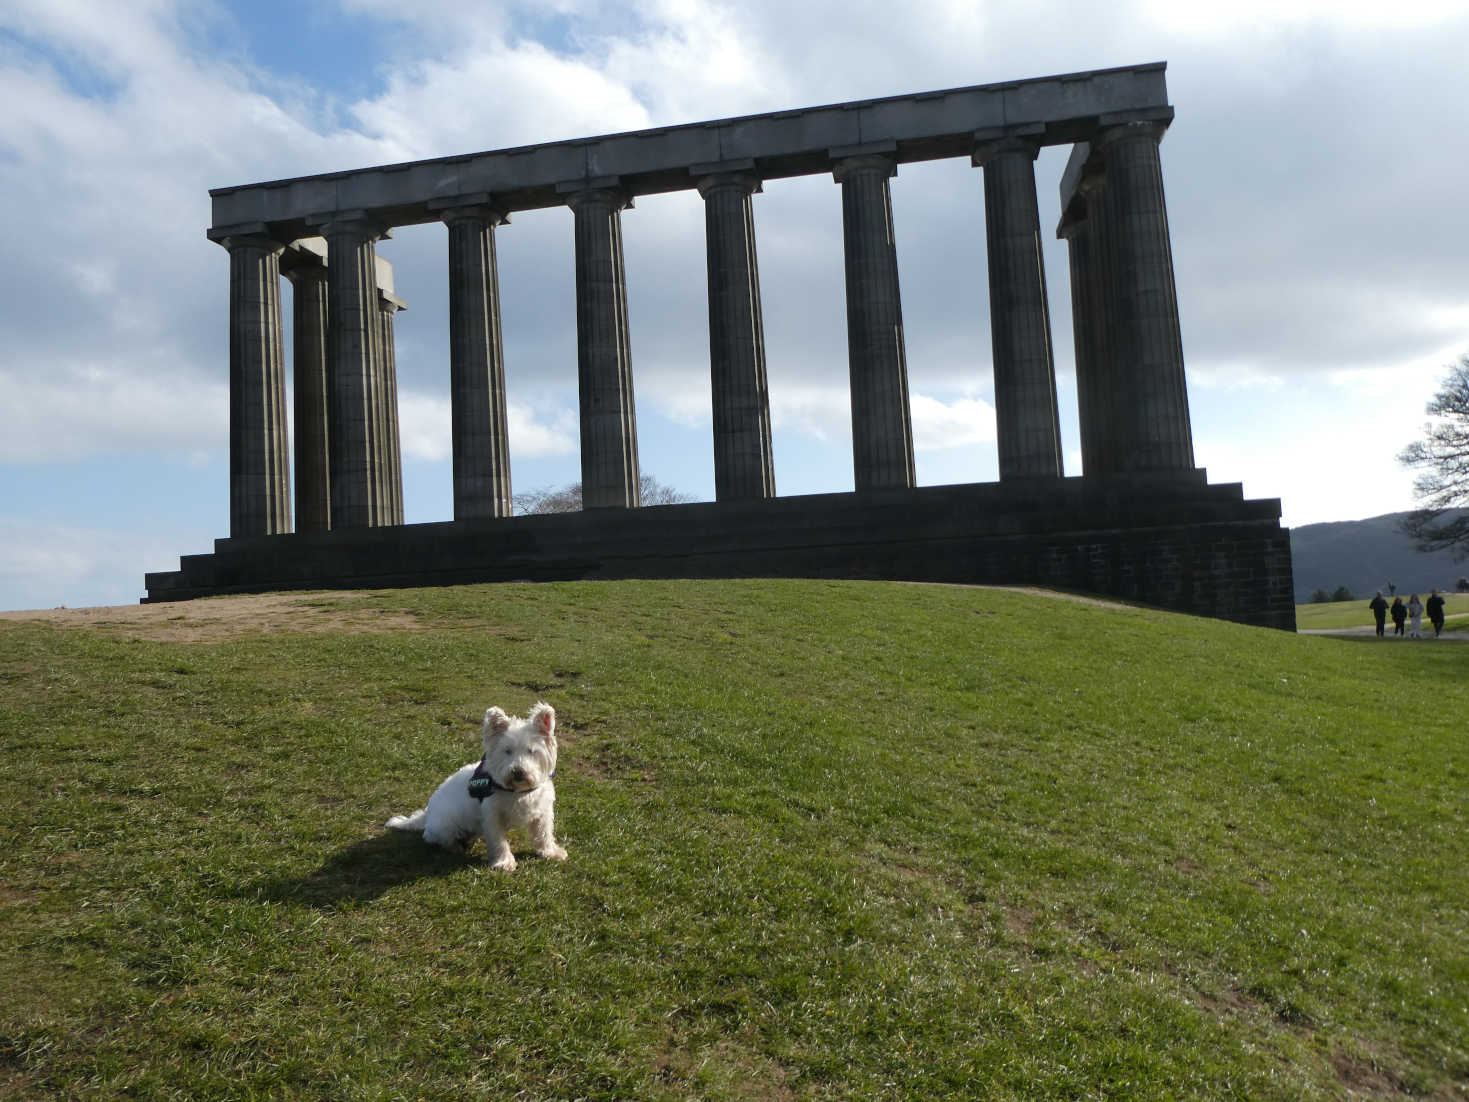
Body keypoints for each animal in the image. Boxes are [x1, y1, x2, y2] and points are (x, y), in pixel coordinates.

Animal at [384, 708, 567, 869]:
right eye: (507, 751)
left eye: (532, 751)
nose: (518, 772)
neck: (517, 792)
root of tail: (428, 812)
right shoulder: (492, 815)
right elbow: (499, 840)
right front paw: (504, 862)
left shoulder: (542, 812)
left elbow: (544, 834)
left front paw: (551, 852)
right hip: (445, 825)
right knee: (434, 838)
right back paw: (456, 847)